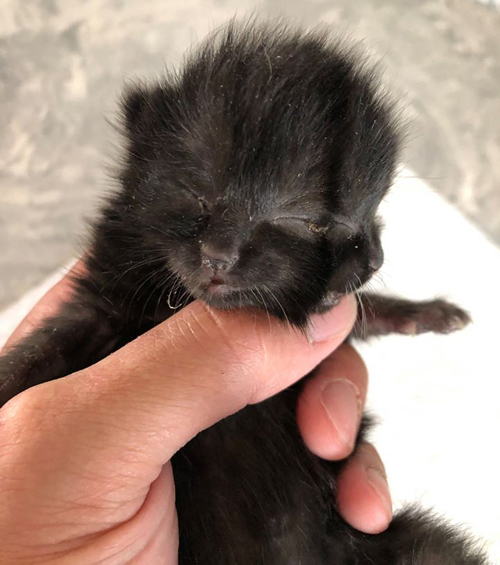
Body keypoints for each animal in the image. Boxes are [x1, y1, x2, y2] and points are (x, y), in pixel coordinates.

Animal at [0, 19, 486, 560]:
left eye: (304, 220)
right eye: (193, 192)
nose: (219, 253)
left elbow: (354, 315)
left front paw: (422, 310)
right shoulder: (102, 303)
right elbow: (42, 348)